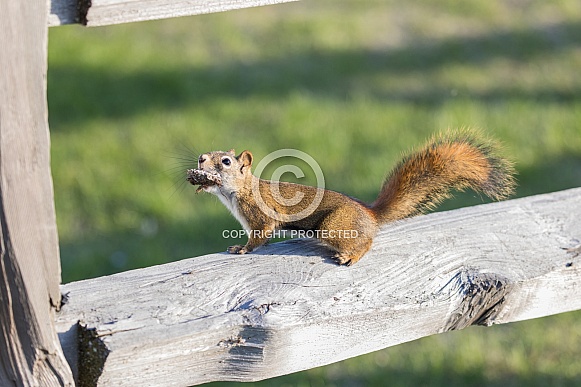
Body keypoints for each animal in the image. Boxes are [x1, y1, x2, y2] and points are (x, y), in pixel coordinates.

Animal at [193, 132, 516, 266]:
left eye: (225, 162)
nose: (199, 159)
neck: (238, 192)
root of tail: (370, 214)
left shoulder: (260, 216)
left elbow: (259, 237)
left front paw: (241, 249)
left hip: (334, 226)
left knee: (367, 242)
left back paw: (351, 255)